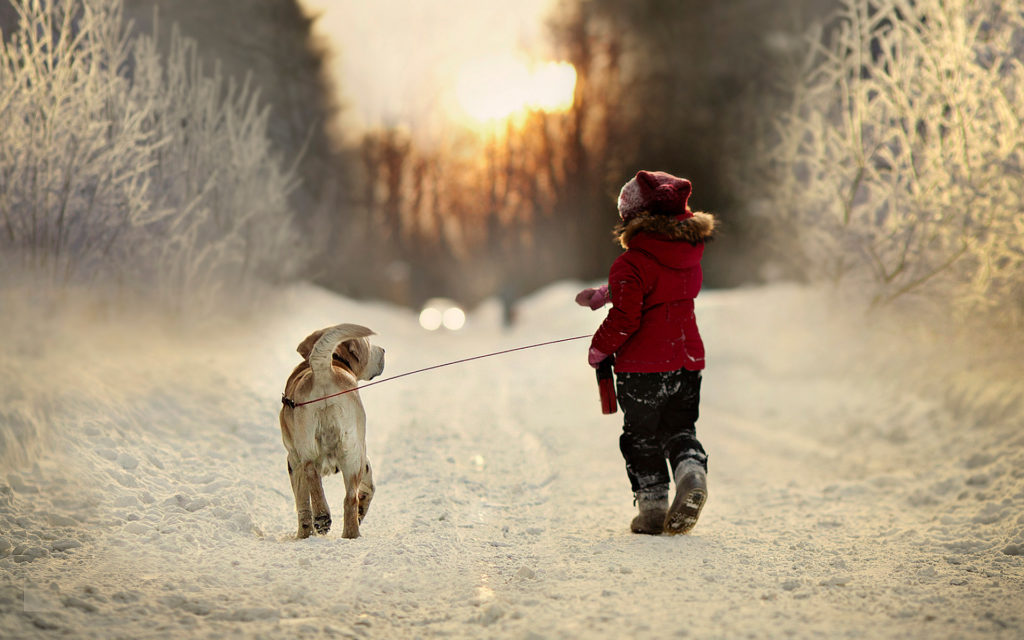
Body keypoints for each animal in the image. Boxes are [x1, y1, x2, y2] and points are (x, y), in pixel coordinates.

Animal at [280, 321, 385, 536]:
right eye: (369, 346)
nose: (384, 350)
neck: (336, 361)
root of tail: (324, 370)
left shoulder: (292, 459)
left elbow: (302, 503)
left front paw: (304, 535)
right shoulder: (363, 457)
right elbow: (369, 488)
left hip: (312, 448)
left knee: (312, 474)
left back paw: (322, 517)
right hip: (352, 452)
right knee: (349, 498)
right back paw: (349, 534)